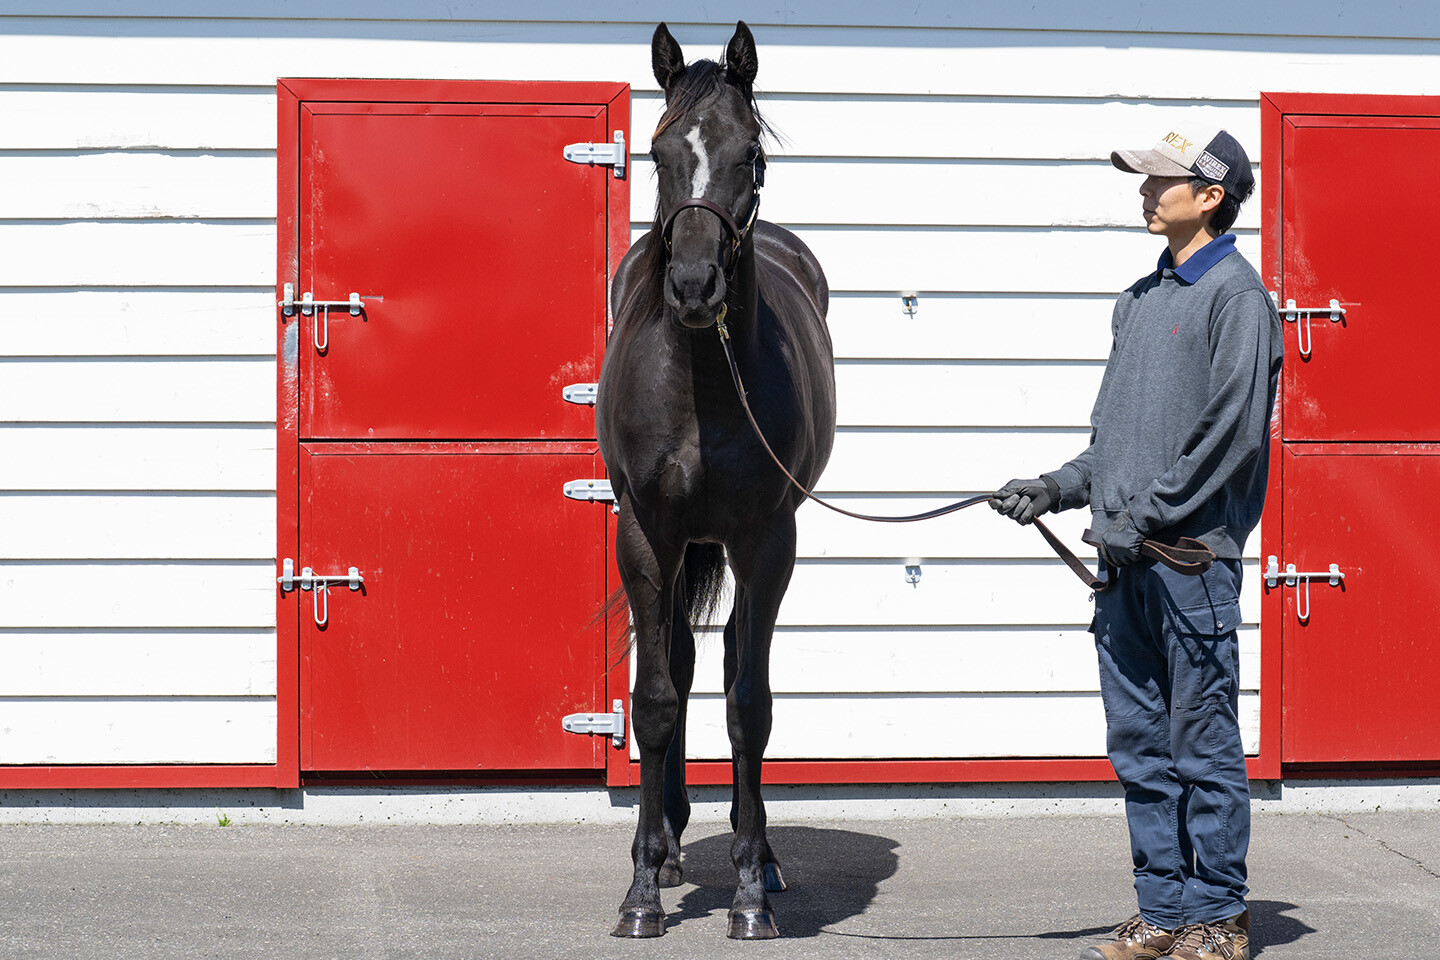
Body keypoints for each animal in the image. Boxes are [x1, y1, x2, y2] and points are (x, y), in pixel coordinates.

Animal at [595, 20, 836, 941]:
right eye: (660, 151)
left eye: (749, 155)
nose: (694, 286)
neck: (701, 373)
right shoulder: (644, 531)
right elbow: (657, 697)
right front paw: (640, 891)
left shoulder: (767, 537)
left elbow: (749, 703)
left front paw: (746, 892)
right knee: (686, 658)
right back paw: (666, 850)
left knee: (732, 657)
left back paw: (758, 857)